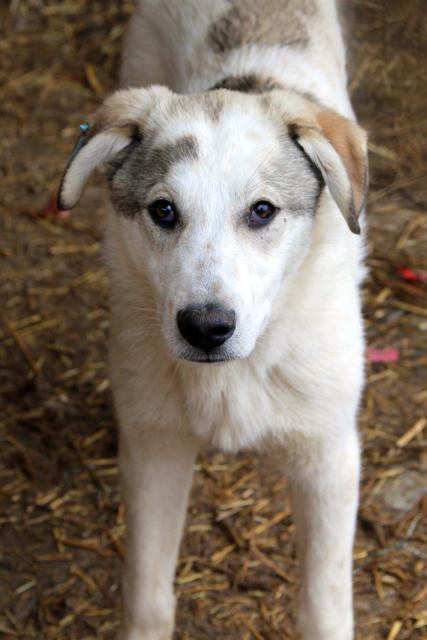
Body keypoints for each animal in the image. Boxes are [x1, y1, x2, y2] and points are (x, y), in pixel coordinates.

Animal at [57, 2, 368, 636]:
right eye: (163, 211)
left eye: (263, 211)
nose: (205, 327)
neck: (236, 371)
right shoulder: (155, 449)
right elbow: (147, 597)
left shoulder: (329, 457)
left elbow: (323, 606)